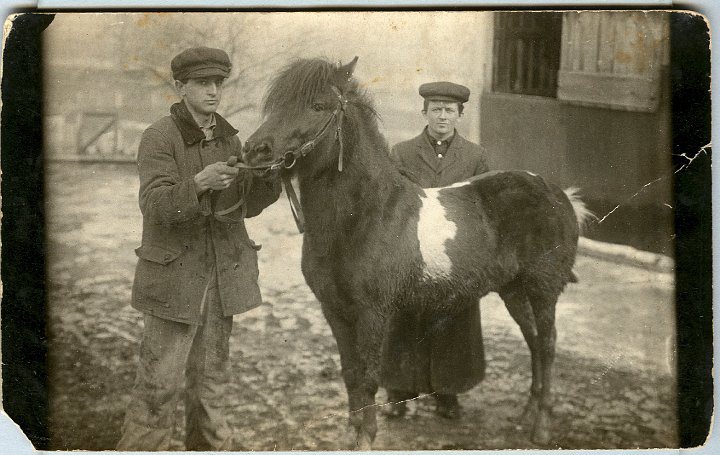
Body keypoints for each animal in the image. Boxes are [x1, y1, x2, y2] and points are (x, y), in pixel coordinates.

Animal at [242, 56, 592, 448]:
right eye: (274, 104)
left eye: (318, 106)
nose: (254, 150)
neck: (366, 217)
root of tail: (559, 195)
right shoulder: (333, 310)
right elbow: (350, 373)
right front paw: (353, 431)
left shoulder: (372, 313)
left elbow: (368, 376)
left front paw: (366, 438)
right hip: (513, 290)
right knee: (532, 341)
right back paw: (526, 415)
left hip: (543, 289)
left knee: (547, 345)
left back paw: (542, 424)